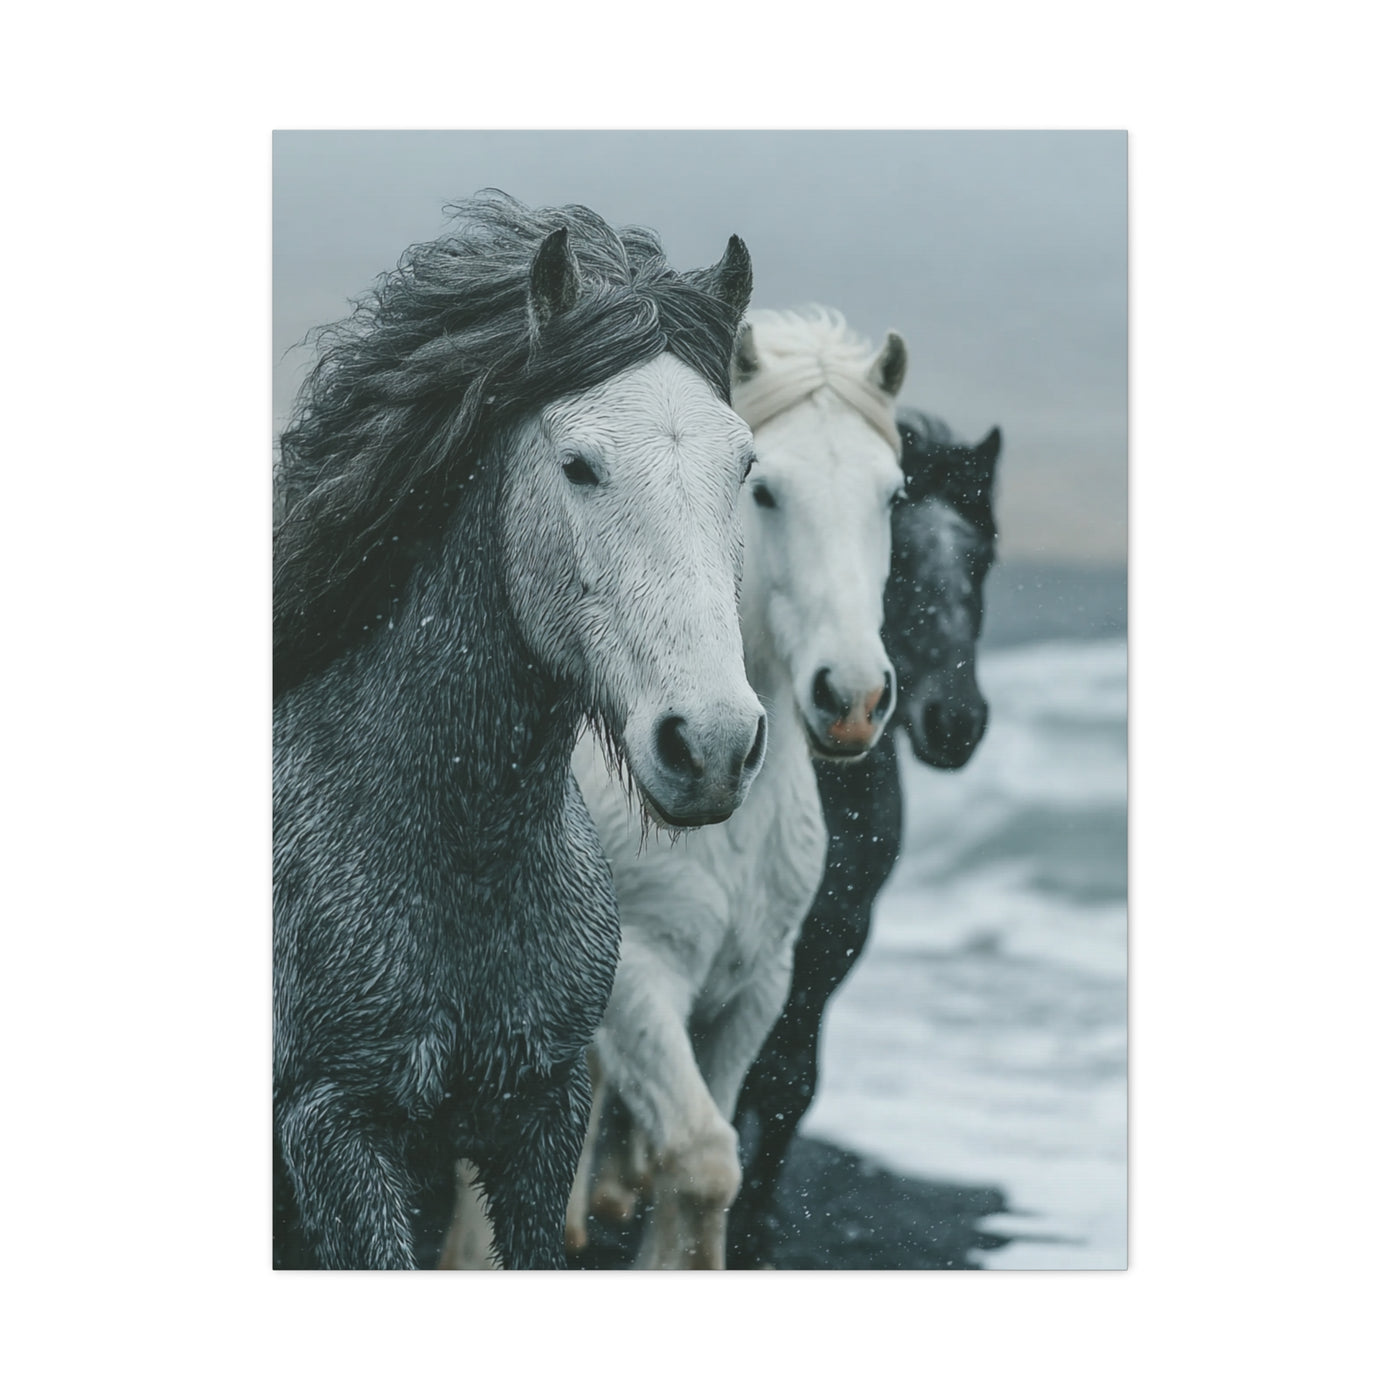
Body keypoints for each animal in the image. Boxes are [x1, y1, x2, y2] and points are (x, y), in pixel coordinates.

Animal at [559, 306, 909, 1268]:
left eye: (892, 496)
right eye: (769, 490)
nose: (853, 698)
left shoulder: (754, 991)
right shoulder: (637, 981)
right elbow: (704, 1158)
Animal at [726, 409, 1002, 1267]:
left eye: (981, 561)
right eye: (899, 559)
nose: (955, 721)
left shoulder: (835, 937)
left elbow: (787, 1085)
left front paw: (752, 1228)